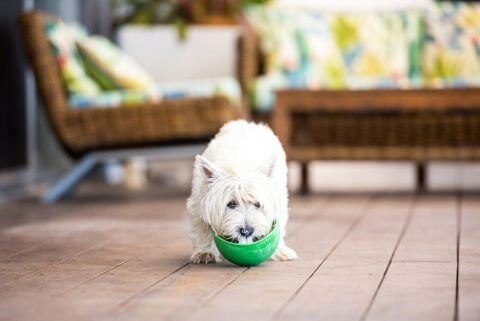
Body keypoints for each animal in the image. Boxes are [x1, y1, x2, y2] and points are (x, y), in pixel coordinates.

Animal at [187, 120, 296, 262]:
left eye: (257, 204)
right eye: (231, 204)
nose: (246, 231)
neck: (240, 167)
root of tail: (248, 123)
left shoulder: (278, 202)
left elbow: (280, 225)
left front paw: (279, 250)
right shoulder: (198, 203)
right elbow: (201, 228)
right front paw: (204, 252)